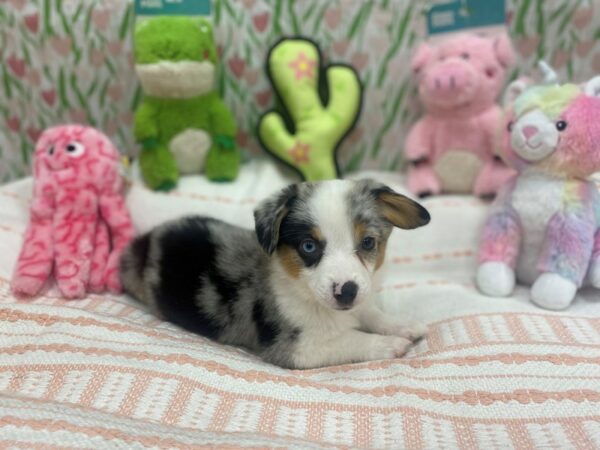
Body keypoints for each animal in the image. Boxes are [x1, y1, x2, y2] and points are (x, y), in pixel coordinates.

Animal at [120, 179, 432, 370]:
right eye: (308, 246)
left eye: (368, 243)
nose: (346, 292)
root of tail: (144, 241)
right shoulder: (295, 348)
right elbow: (350, 339)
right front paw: (388, 344)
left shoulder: (360, 301)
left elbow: (373, 314)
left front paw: (403, 325)